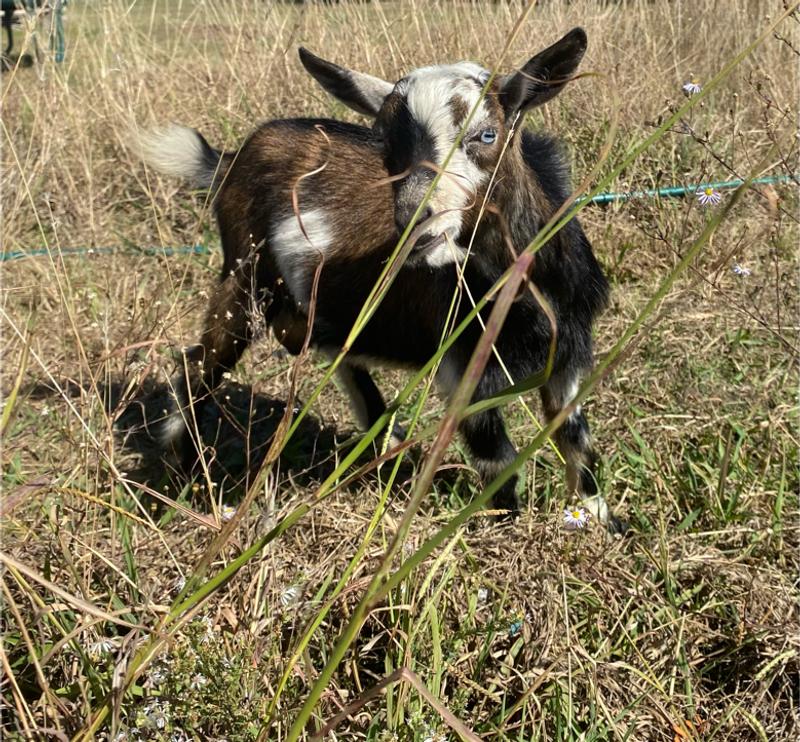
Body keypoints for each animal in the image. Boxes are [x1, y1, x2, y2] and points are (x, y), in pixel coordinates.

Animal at [139, 27, 625, 533]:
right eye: (387, 148)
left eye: (487, 134)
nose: (417, 222)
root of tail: (231, 158)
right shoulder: (463, 365)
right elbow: (499, 464)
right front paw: (503, 530)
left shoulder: (567, 355)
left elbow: (578, 444)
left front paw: (605, 526)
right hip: (243, 276)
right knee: (200, 363)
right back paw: (175, 471)